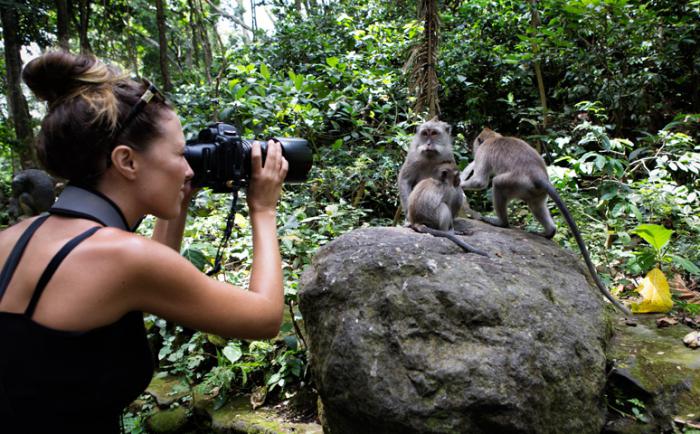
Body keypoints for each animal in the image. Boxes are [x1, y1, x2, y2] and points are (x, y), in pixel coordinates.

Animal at [462, 128, 632, 316]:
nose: (472, 149)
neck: (493, 138)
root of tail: (538, 175)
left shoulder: (483, 153)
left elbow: (480, 181)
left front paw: (459, 184)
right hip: (535, 192)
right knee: (536, 206)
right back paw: (549, 232)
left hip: (515, 182)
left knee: (498, 183)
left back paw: (501, 223)